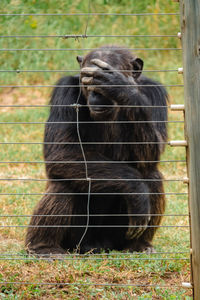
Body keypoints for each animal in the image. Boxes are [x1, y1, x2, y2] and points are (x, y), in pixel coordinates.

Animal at [25, 45, 168, 255]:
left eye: (100, 80)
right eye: (87, 79)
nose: (95, 94)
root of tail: (98, 245)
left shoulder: (156, 92)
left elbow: (151, 154)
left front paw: (120, 86)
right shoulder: (64, 91)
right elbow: (61, 152)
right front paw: (136, 190)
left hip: (116, 237)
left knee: (152, 176)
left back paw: (138, 246)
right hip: (77, 239)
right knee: (63, 183)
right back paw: (43, 247)